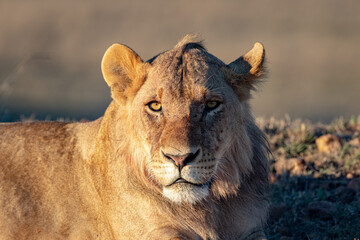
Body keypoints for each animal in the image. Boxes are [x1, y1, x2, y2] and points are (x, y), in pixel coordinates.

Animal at [0, 36, 268, 240]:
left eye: (211, 104)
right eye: (155, 106)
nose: (180, 158)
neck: (208, 209)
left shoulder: (251, 230)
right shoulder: (153, 233)